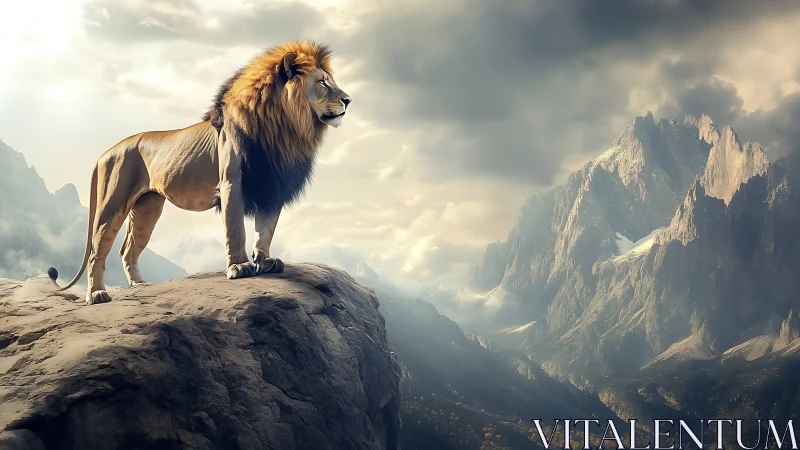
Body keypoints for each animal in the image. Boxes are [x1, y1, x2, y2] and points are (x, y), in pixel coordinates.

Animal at [47, 41, 351, 305]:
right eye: (323, 82)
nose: (348, 100)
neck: (284, 128)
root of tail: (104, 153)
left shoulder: (271, 185)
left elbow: (265, 230)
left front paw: (265, 262)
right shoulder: (232, 183)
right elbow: (236, 229)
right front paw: (239, 266)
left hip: (148, 208)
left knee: (128, 249)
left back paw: (140, 285)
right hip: (113, 204)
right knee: (97, 252)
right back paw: (97, 295)